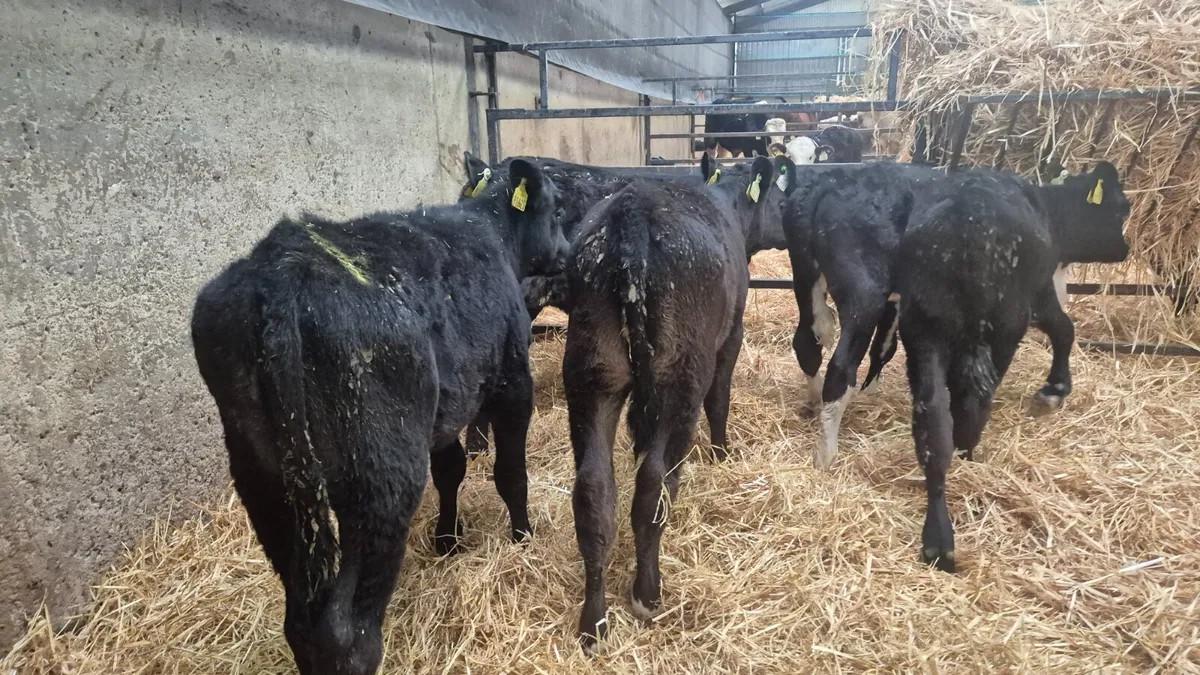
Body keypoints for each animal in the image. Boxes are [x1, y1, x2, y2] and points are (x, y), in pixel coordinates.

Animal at [191, 159, 565, 675]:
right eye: (557, 209)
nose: (567, 250)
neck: (492, 231)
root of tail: (280, 272)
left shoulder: (445, 408)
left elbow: (451, 471)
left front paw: (447, 540)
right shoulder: (511, 382)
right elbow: (511, 474)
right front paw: (523, 537)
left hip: (263, 481)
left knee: (301, 622)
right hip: (379, 479)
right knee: (347, 630)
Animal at [566, 154, 796, 653]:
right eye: (780, 198)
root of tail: (632, 212)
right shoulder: (731, 336)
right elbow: (720, 400)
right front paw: (722, 453)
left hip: (593, 370)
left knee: (594, 489)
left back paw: (594, 622)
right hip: (682, 372)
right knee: (654, 482)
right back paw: (647, 593)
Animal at [781, 161, 1129, 472]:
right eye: (1120, 209)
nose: (1125, 249)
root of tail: (828, 183)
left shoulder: (898, 301)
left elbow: (884, 347)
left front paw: (872, 393)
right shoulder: (1036, 294)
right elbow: (1064, 328)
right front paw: (1054, 390)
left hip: (806, 277)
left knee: (806, 345)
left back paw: (814, 402)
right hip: (864, 292)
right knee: (840, 368)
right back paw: (827, 454)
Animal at [896, 162, 1130, 571]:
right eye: (1121, 209)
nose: (1126, 248)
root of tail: (968, 224)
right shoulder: (1041, 294)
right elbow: (1064, 328)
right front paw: (1055, 388)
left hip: (923, 331)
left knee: (934, 422)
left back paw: (937, 537)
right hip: (1004, 328)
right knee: (973, 406)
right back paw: (967, 461)